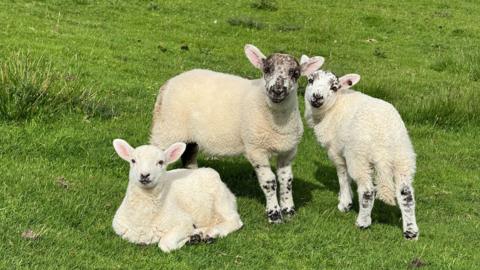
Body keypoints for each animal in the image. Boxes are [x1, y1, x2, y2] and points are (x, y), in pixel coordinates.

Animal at [110, 139, 242, 253]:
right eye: (133, 161)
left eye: (161, 162)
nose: (144, 175)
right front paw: (193, 238)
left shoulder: (183, 222)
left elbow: (165, 245)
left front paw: (189, 239)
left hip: (221, 200)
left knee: (234, 220)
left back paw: (212, 232)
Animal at [149, 44, 322, 224]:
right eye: (267, 69)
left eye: (295, 73)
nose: (277, 90)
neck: (278, 123)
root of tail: (168, 84)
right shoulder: (255, 148)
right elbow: (269, 181)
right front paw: (274, 215)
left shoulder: (288, 150)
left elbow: (286, 180)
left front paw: (289, 211)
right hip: (167, 129)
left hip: (189, 136)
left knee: (189, 158)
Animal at [302, 55, 418, 240]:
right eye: (310, 80)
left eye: (334, 87)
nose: (317, 97)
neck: (334, 107)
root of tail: (382, 140)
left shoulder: (336, 151)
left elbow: (343, 176)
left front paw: (344, 202)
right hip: (403, 156)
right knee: (406, 194)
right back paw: (411, 231)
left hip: (359, 156)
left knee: (368, 190)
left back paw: (362, 222)